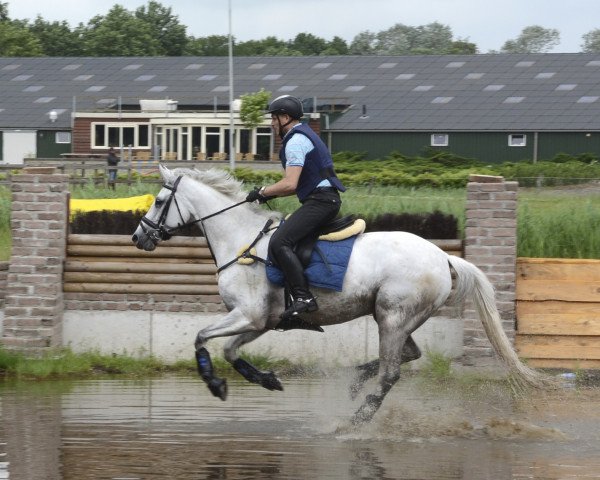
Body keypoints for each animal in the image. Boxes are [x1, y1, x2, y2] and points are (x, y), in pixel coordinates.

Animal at [134, 165, 552, 424]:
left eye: (159, 202)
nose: (139, 237)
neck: (241, 242)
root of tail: (443, 256)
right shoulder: (261, 321)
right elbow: (229, 351)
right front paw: (266, 380)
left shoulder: (248, 315)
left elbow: (201, 338)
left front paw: (215, 384)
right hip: (397, 318)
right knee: (408, 355)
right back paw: (355, 382)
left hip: (392, 317)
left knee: (391, 373)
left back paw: (356, 420)